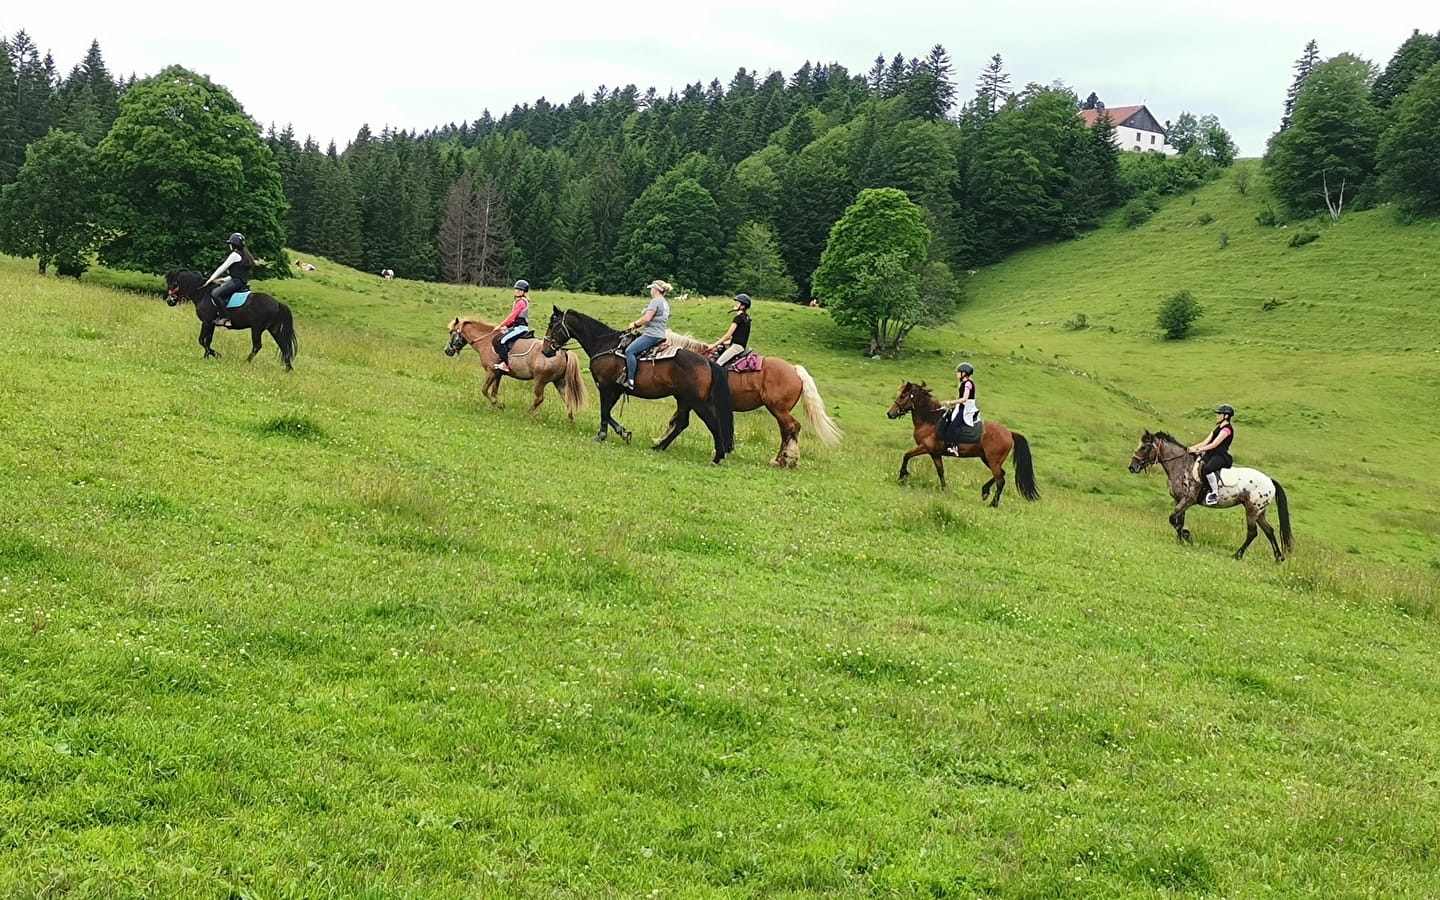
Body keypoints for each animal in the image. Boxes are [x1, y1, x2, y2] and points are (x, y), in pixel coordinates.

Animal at [446, 315, 587, 420]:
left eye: (450, 332)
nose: (447, 351)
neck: (486, 341)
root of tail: (562, 351)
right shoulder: (498, 374)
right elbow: (493, 392)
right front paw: (493, 407)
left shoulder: (491, 372)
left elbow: (484, 390)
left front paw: (500, 406)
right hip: (559, 381)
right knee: (567, 399)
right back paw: (570, 421)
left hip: (540, 380)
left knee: (539, 399)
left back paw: (525, 415)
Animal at [544, 306, 737, 463]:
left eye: (552, 324)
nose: (546, 350)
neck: (605, 344)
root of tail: (707, 362)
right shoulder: (616, 389)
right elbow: (608, 412)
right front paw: (623, 433)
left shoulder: (605, 386)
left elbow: (604, 411)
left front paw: (601, 436)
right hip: (683, 399)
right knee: (682, 423)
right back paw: (659, 447)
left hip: (697, 402)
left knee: (712, 423)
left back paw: (718, 456)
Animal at [648, 331, 840, 466]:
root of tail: (794, 369)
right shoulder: (688, 400)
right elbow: (675, 421)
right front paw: (659, 441)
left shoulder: (692, 399)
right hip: (780, 410)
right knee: (786, 430)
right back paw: (780, 459)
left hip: (778, 409)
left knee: (792, 427)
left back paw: (785, 459)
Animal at [881, 380, 1042, 506]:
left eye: (902, 396)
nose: (890, 413)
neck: (931, 421)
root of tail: (1009, 432)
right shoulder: (935, 453)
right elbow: (940, 471)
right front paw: (945, 489)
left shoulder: (926, 447)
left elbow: (906, 455)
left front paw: (902, 476)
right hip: (986, 458)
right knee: (1001, 475)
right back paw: (985, 492)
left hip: (993, 460)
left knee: (1000, 480)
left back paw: (993, 503)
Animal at [1123, 429, 1296, 561]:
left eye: (1144, 447)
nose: (1132, 467)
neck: (1181, 466)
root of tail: (1270, 480)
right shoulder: (1179, 500)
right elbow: (1178, 521)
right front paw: (1181, 539)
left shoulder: (1188, 500)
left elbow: (1173, 519)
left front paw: (1187, 537)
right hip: (1259, 511)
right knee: (1269, 531)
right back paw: (1278, 557)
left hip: (1252, 509)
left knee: (1252, 533)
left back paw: (1237, 555)